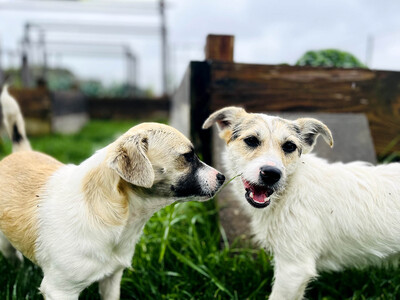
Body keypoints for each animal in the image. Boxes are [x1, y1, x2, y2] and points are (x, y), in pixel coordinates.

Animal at [0, 85, 225, 300]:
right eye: (187, 156)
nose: (222, 177)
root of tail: (21, 151)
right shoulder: (60, 290)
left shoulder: (112, 277)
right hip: (6, 244)